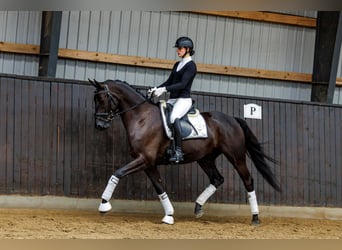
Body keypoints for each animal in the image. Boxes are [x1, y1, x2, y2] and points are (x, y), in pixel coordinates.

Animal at [89, 79, 280, 226]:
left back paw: (255, 218)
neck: (142, 118)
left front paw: (104, 204)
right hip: (205, 159)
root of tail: (232, 119)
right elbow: (159, 187)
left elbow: (117, 173)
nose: (99, 125)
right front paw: (169, 215)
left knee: (248, 180)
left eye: (102, 98)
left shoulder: (144, 159)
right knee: (217, 179)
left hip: (236, 157)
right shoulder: (148, 163)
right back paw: (198, 207)